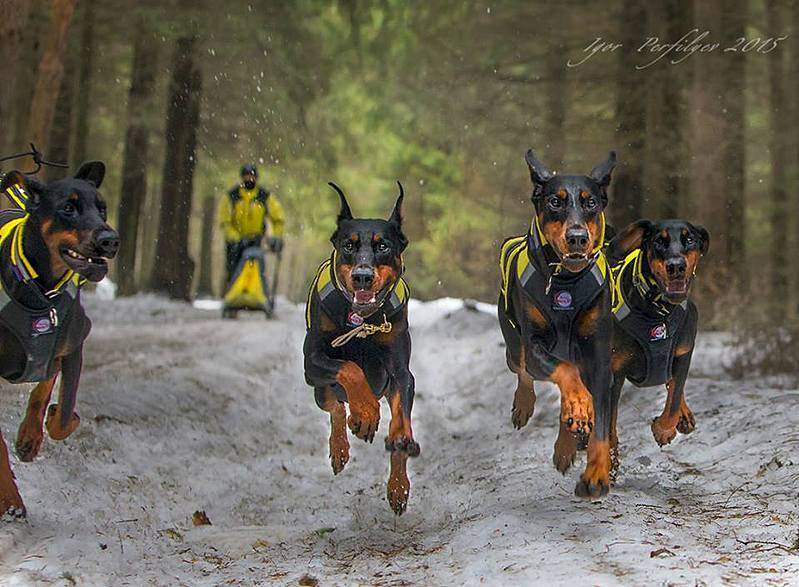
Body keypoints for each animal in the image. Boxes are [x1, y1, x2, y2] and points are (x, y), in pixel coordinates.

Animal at [0, 162, 120, 520]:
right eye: (68, 208)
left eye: (102, 208)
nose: (110, 240)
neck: (38, 292)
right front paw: (11, 500)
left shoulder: (73, 343)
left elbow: (64, 414)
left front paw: (39, 429)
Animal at [304, 181, 418, 516]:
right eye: (348, 245)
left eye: (383, 246)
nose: (362, 277)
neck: (362, 321)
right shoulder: (311, 361)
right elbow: (350, 368)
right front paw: (366, 414)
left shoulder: (401, 373)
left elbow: (400, 418)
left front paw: (398, 486)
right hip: (318, 387)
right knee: (335, 407)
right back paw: (342, 443)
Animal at [500, 149, 620, 498]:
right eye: (555, 201)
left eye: (590, 202)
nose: (577, 237)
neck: (566, 281)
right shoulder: (536, 346)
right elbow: (562, 372)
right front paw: (579, 406)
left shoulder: (599, 357)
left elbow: (601, 420)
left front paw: (596, 474)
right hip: (513, 346)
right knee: (523, 369)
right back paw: (526, 406)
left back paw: (567, 444)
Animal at [608, 218, 708, 470]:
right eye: (658, 242)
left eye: (690, 239)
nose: (676, 266)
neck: (657, 311)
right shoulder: (614, 371)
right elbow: (608, 423)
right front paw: (607, 462)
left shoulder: (683, 352)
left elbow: (674, 396)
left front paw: (663, 430)